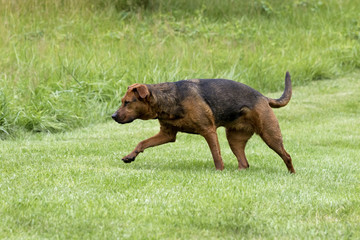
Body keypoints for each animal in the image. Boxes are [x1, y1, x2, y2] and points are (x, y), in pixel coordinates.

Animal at [112, 71, 296, 172]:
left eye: (127, 102)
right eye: (122, 101)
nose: (113, 116)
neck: (167, 100)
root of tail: (263, 97)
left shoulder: (208, 130)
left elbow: (216, 155)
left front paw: (219, 172)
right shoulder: (167, 134)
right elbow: (142, 143)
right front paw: (130, 156)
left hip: (270, 134)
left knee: (287, 156)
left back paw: (291, 174)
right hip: (235, 139)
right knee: (244, 163)